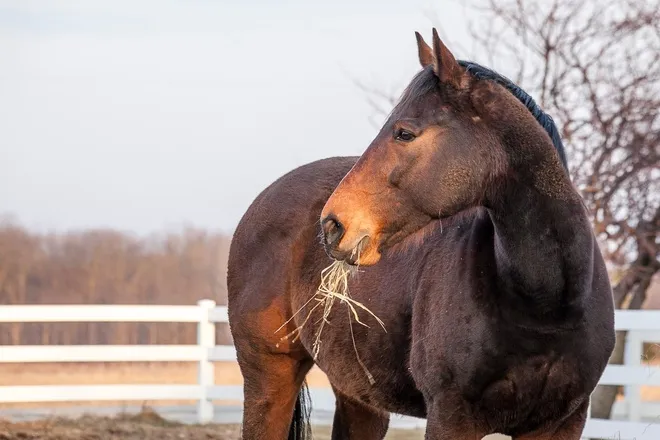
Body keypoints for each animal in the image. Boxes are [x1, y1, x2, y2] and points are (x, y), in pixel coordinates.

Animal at [227, 29, 615, 440]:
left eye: (404, 133)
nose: (333, 225)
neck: (545, 307)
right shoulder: (451, 417)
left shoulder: (561, 423)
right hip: (270, 380)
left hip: (357, 395)